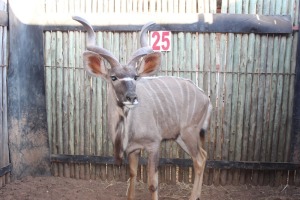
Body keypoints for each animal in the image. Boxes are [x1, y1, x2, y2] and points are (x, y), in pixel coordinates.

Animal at [73, 16, 212, 199]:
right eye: (113, 77)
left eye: (135, 76)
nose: (132, 97)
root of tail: (205, 98)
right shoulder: (133, 149)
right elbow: (132, 173)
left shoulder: (153, 145)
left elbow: (152, 183)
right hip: (182, 137)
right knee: (203, 155)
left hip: (189, 134)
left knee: (199, 160)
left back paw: (193, 196)